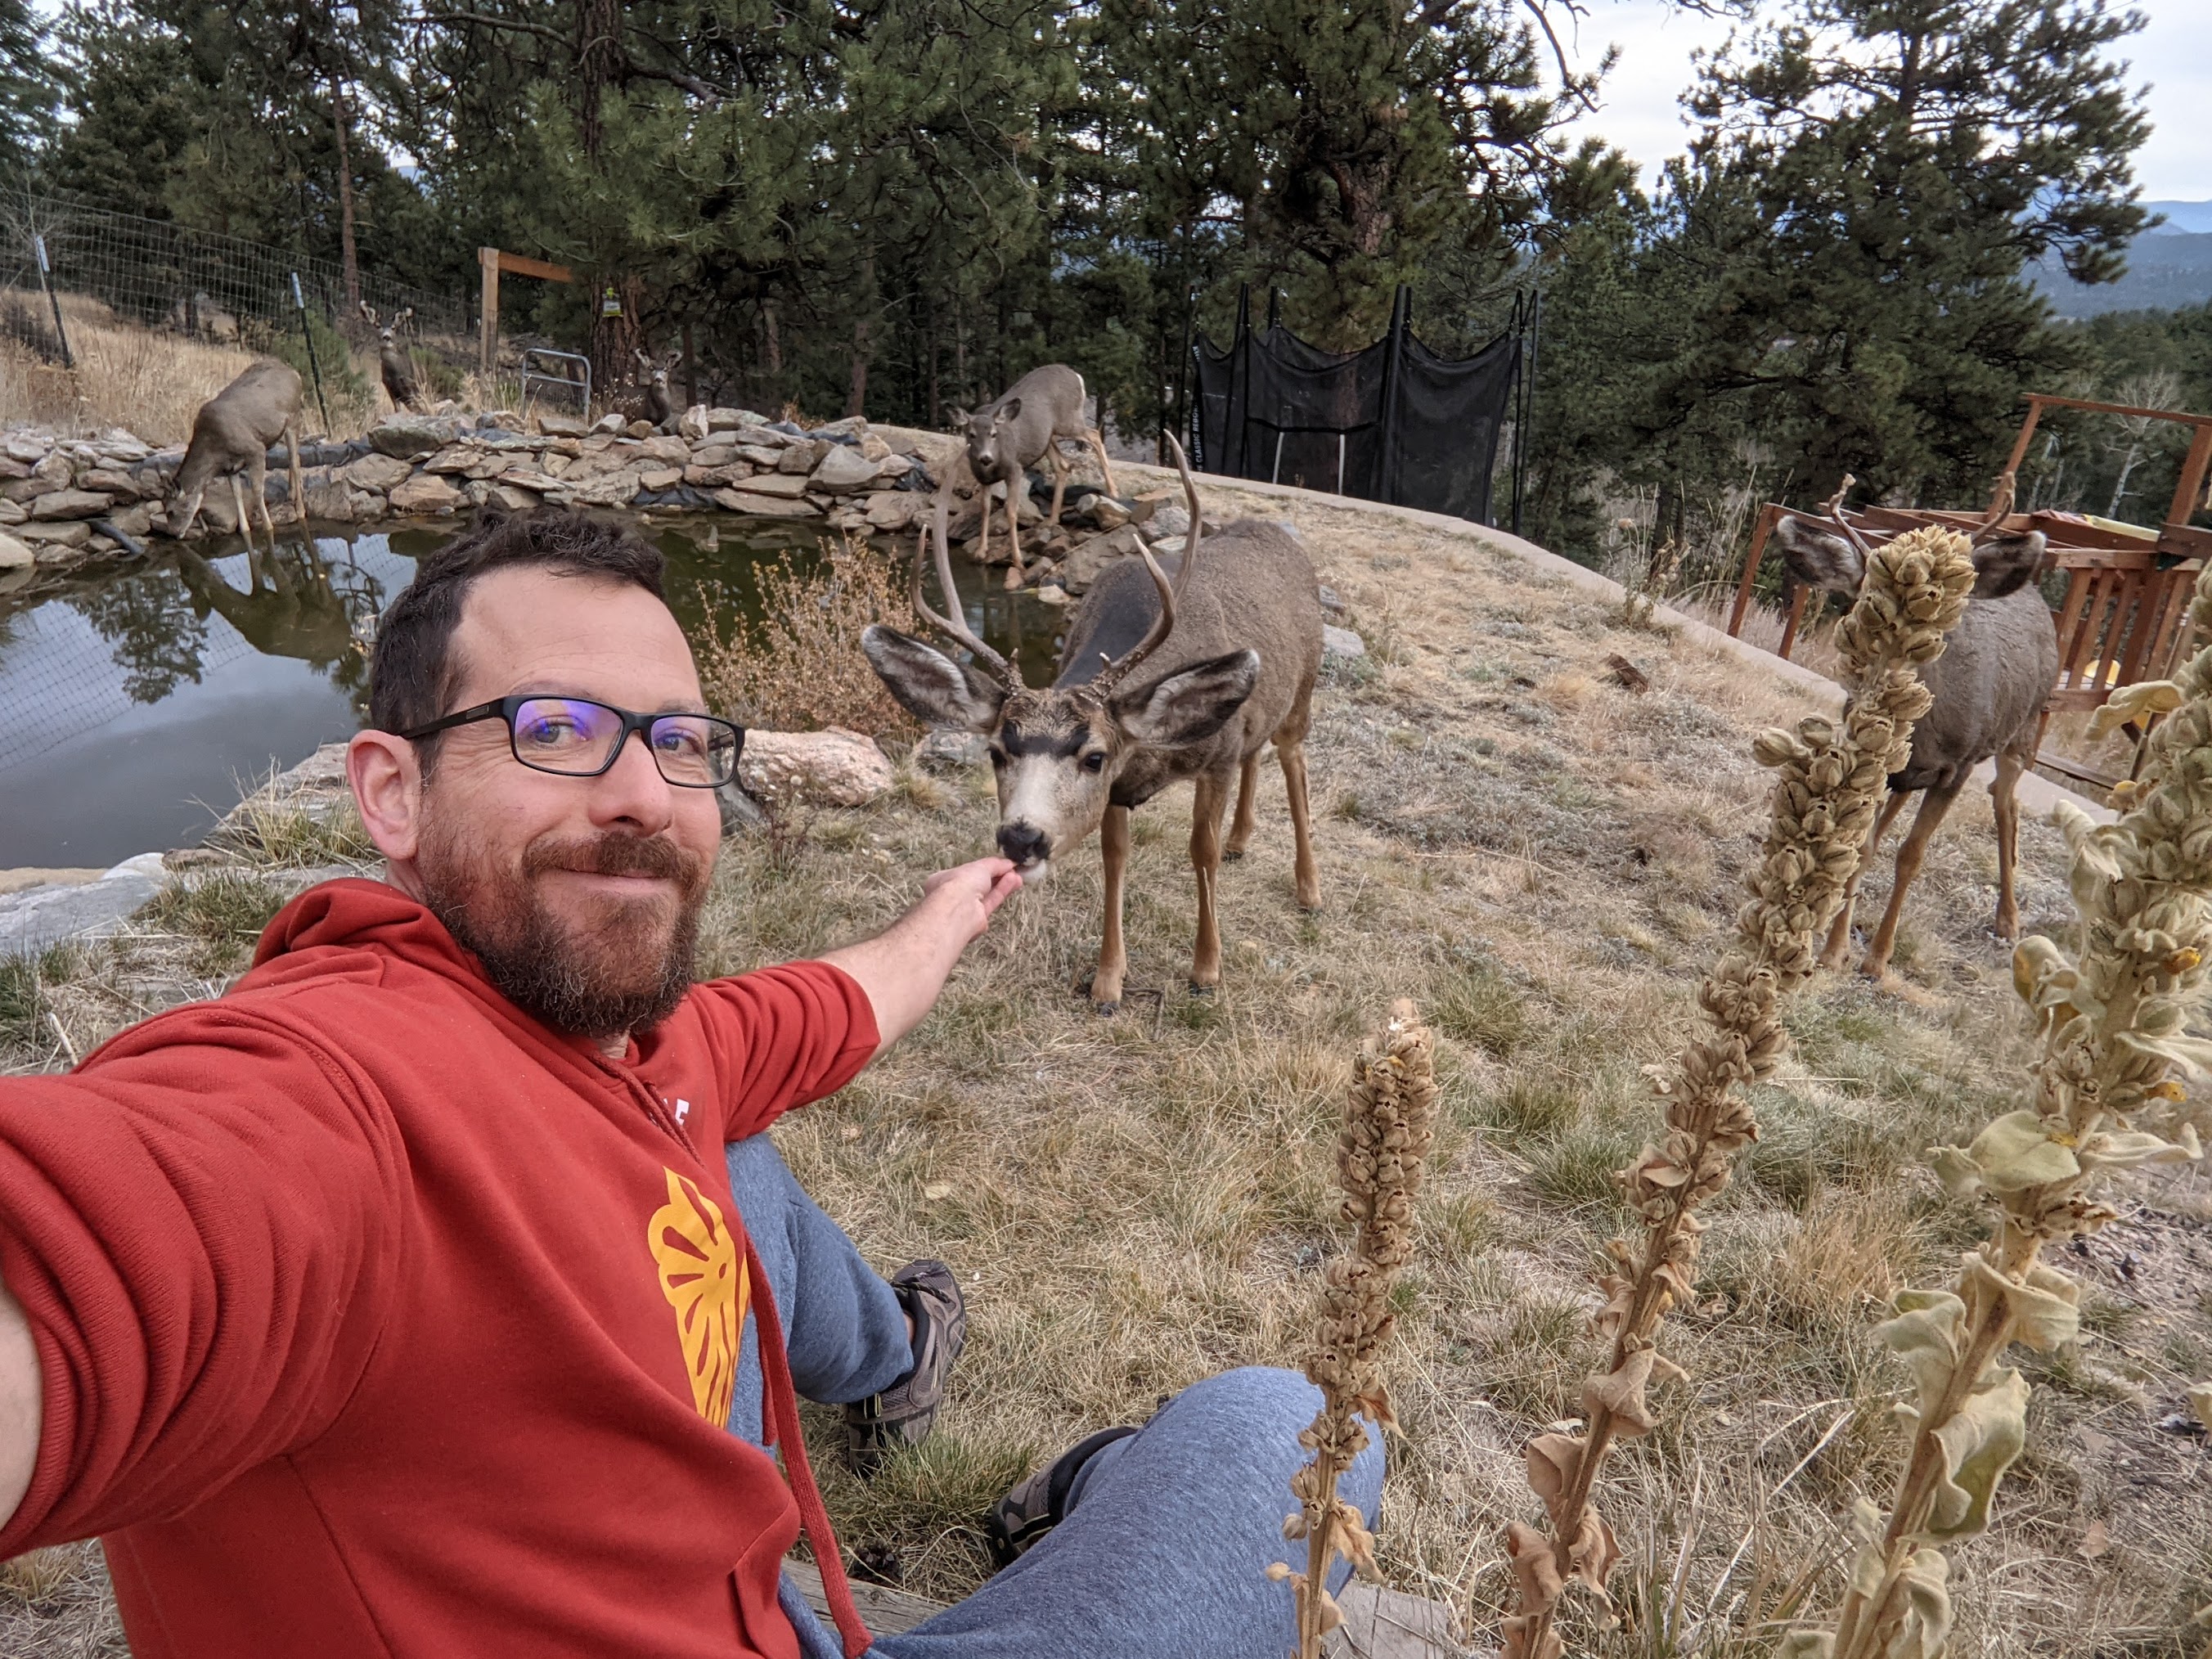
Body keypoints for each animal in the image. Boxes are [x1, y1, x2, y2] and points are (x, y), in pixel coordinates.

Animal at [858, 442, 1309, 1013]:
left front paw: (1207, 970)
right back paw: (1241, 841)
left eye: (1094, 757)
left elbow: (1199, 852)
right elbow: (1115, 860)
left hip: (1304, 689)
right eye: (996, 752)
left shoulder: (1217, 757)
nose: (1021, 837)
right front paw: (1107, 982)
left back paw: (1309, 889)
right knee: (1260, 752)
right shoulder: (1119, 791)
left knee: (1293, 762)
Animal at [955, 362, 1123, 592]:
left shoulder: (1015, 470)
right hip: (1048, 437)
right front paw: (981, 552)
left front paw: (1017, 560)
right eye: (971, 434)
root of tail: (1076, 375)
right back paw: (1052, 520)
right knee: (1063, 466)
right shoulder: (983, 479)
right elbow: (985, 508)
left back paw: (1113, 491)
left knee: (1094, 435)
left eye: (993, 434)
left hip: (1067, 421)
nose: (986, 458)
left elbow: (1011, 511)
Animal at [1760, 519, 2052, 986]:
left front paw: (1878, 959)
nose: (1881, 665)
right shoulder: (1874, 764)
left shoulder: (1958, 767)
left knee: (2006, 804)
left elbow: (1911, 857)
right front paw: (1834, 951)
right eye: (1864, 599)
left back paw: (2008, 921)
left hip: (2022, 732)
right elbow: (1862, 849)